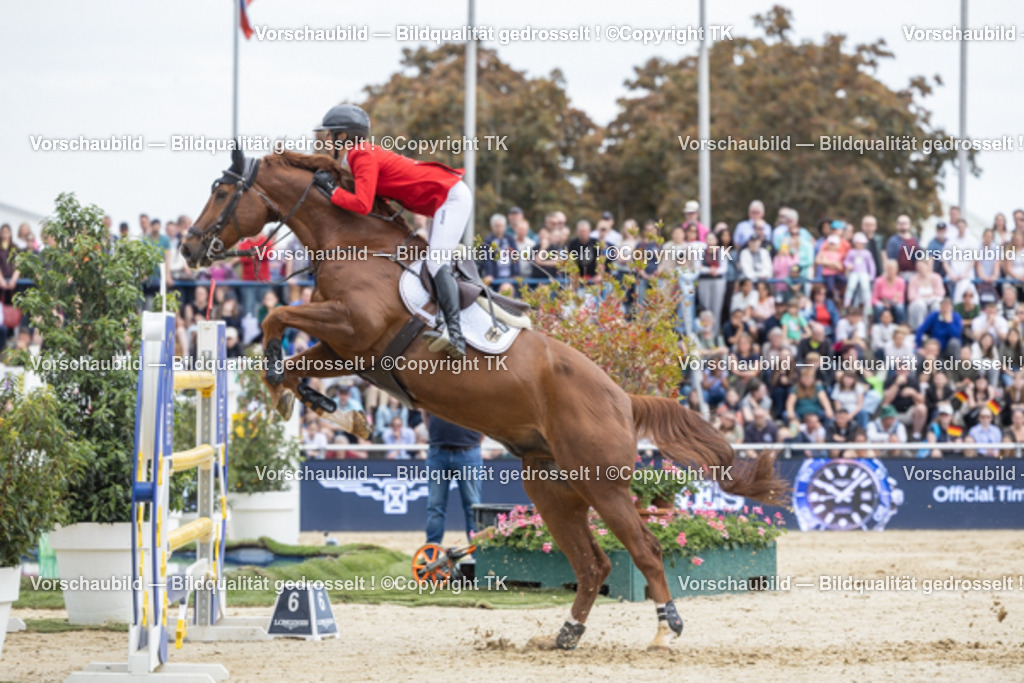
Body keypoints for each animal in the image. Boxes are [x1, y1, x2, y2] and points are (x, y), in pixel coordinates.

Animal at [181, 149, 789, 651]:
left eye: (220, 189)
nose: (188, 247)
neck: (353, 244)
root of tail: (623, 398)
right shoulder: (347, 350)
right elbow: (290, 356)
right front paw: (331, 410)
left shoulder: (353, 328)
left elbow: (275, 316)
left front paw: (303, 392)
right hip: (552, 488)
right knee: (591, 564)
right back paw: (565, 634)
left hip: (605, 485)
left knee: (643, 549)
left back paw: (666, 629)